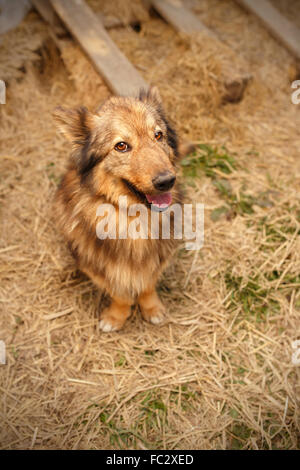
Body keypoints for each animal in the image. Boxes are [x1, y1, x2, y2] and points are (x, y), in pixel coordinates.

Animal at [53, 87, 184, 330]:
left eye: (158, 135)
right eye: (121, 146)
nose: (167, 181)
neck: (134, 217)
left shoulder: (157, 258)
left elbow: (147, 285)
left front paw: (152, 309)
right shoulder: (99, 266)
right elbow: (120, 293)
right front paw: (116, 317)